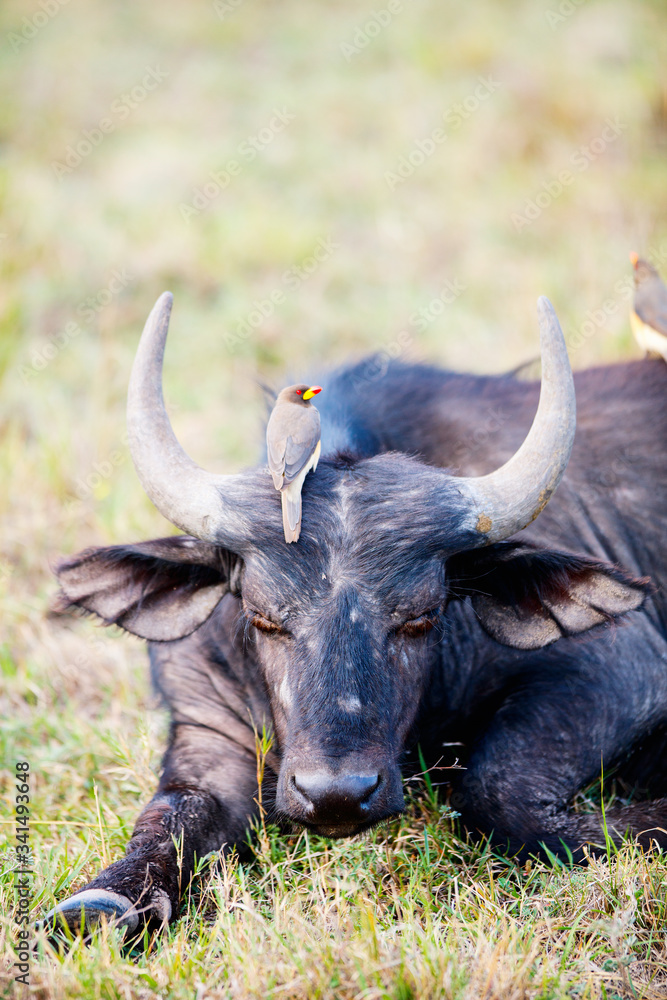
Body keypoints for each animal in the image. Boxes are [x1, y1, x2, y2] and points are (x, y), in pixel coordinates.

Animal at [44, 291, 667, 935]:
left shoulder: (619, 671)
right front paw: (98, 904)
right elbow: (173, 813)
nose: (337, 794)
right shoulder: (208, 725)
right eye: (263, 617)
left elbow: (499, 795)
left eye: (422, 616)